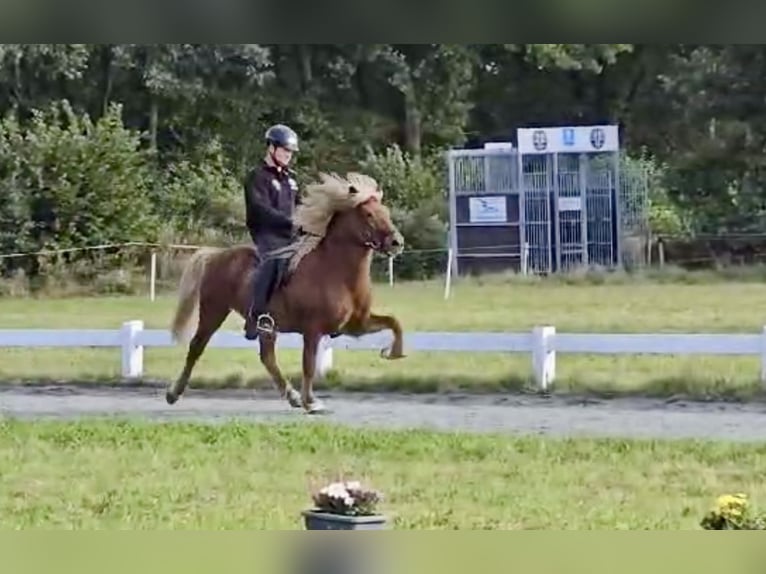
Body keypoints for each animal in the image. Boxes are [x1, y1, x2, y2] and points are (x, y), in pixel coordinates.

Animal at [165, 173, 408, 416]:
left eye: (385, 211)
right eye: (368, 214)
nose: (397, 242)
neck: (335, 271)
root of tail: (217, 255)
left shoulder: (355, 325)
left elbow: (394, 323)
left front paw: (393, 352)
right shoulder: (313, 330)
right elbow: (308, 365)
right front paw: (311, 402)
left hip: (265, 327)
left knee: (267, 357)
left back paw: (292, 396)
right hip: (213, 311)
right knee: (196, 347)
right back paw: (173, 393)